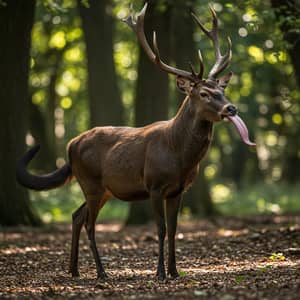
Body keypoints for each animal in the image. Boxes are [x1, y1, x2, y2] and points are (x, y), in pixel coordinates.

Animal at [16, 2, 255, 282]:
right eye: (204, 93)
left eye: (223, 90)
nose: (231, 108)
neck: (180, 156)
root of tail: (71, 145)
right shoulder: (154, 185)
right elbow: (160, 228)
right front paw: (160, 273)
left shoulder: (179, 189)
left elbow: (174, 229)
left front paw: (175, 272)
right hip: (90, 182)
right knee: (89, 223)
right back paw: (101, 272)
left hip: (104, 188)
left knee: (76, 215)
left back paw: (74, 270)